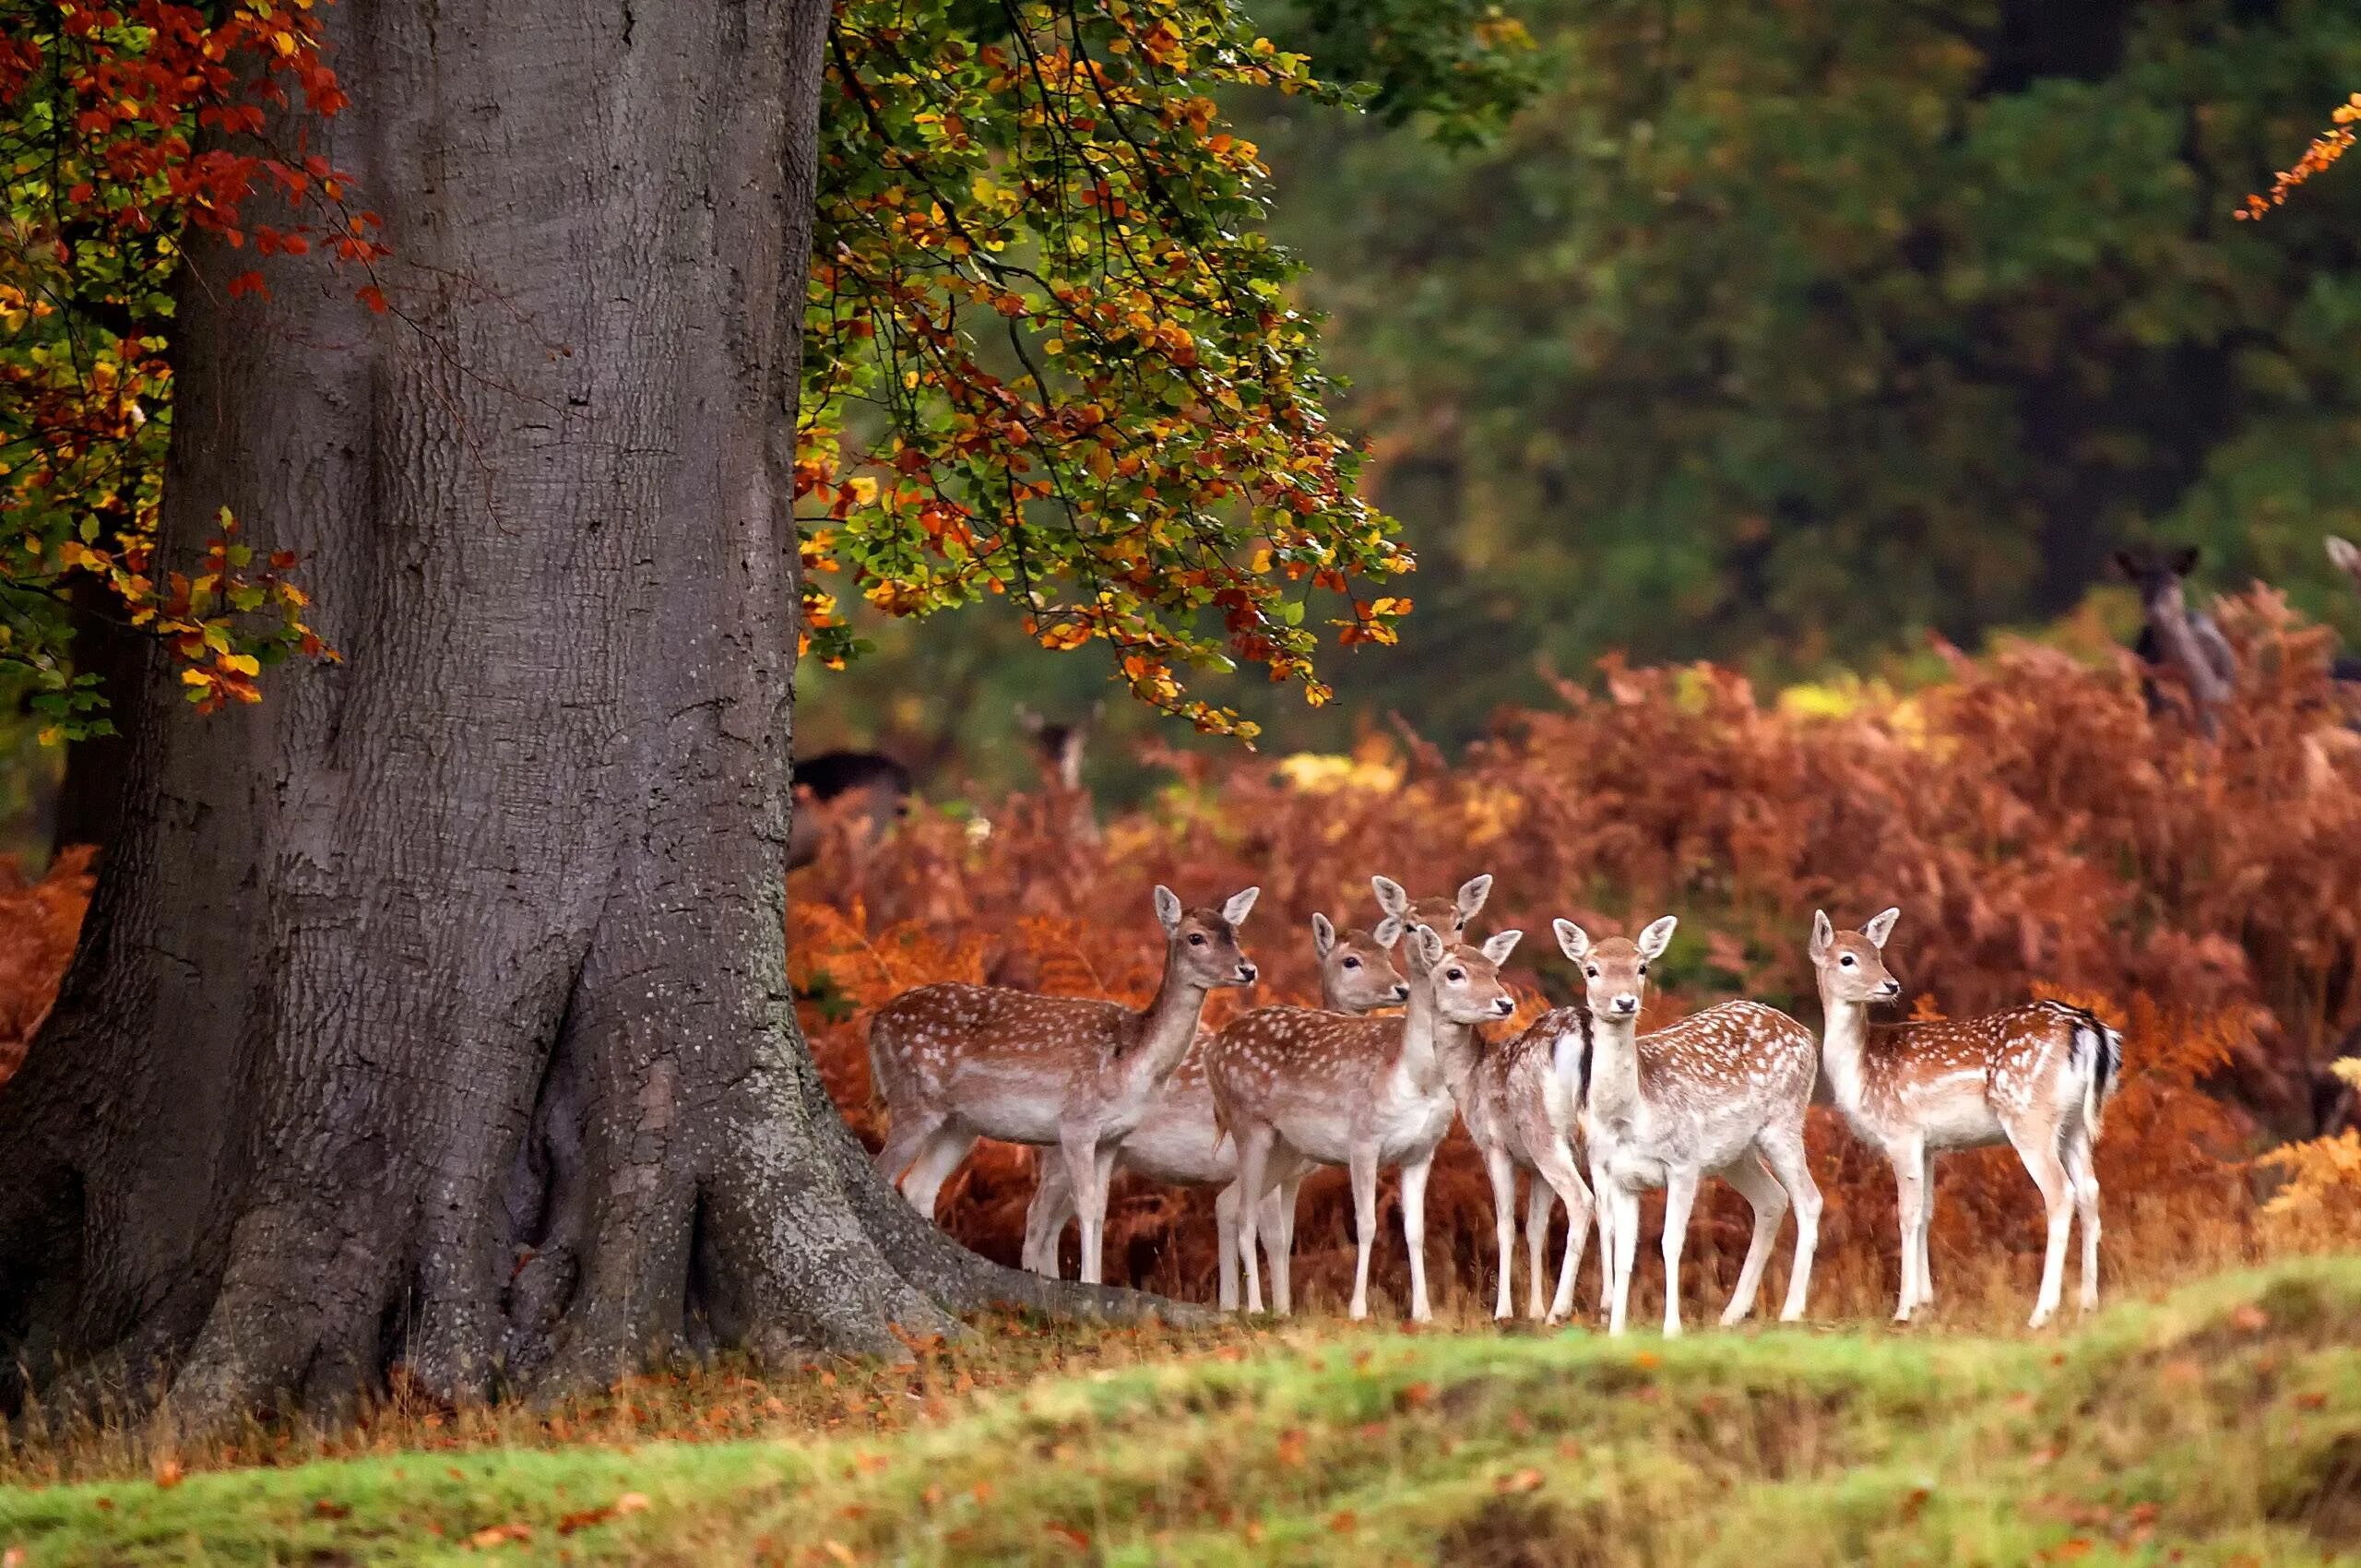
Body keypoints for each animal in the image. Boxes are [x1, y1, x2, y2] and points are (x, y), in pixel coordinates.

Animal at [869, 887, 1265, 1284]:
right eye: (1196, 937)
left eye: (1235, 934)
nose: (1247, 969)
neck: (1132, 1062)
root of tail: (875, 1023)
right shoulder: (1077, 1122)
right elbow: (1085, 1205)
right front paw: (1089, 1281)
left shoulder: (1112, 1137)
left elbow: (1101, 1209)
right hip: (913, 1098)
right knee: (885, 1170)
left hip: (959, 1125)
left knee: (920, 1185)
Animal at [1014, 907, 1397, 1313]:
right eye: (1351, 960)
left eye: (1388, 955)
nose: (1400, 988)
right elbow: (1273, 1235)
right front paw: (1274, 1311)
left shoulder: (1291, 1174)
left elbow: (1270, 1228)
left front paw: (1245, 1305)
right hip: (1063, 1146)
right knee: (1037, 1216)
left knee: (1056, 1221)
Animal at [1208, 911, 1520, 1331]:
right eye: (1455, 973)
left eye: (1495, 970)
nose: (1504, 1002)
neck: (1415, 1078)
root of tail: (1213, 1050)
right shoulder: (1363, 1140)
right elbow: (1367, 1224)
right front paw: (1357, 1310)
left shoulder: (1421, 1151)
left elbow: (1415, 1230)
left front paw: (1422, 1313)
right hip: (1249, 1123)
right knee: (1245, 1212)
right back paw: (1256, 1309)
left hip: (1287, 1148)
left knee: (1229, 1203)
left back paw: (1242, 1308)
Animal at [1567, 921, 1822, 1331]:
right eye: (1592, 969)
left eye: (1642, 967)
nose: (1625, 1002)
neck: (1631, 1115)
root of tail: (1807, 1035)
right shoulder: (1620, 1176)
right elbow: (1623, 1251)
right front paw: (1616, 1330)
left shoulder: (1683, 1162)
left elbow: (1671, 1243)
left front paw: (1672, 1328)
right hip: (1734, 1154)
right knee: (1772, 1200)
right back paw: (1732, 1313)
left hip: (1784, 1121)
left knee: (1809, 1199)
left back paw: (1791, 1310)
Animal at [1803, 907, 2125, 1322]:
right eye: (1848, 958)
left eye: (1877, 954)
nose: (1891, 985)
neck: (1861, 1072)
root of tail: (2088, 1029)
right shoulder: (1928, 1145)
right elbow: (1926, 1212)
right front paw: (1925, 1303)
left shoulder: (1901, 1132)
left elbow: (1906, 1214)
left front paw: (1904, 1310)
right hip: (2073, 1124)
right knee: (2089, 1190)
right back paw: (2088, 1303)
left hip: (2028, 1114)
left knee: (2060, 1192)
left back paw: (2041, 1313)